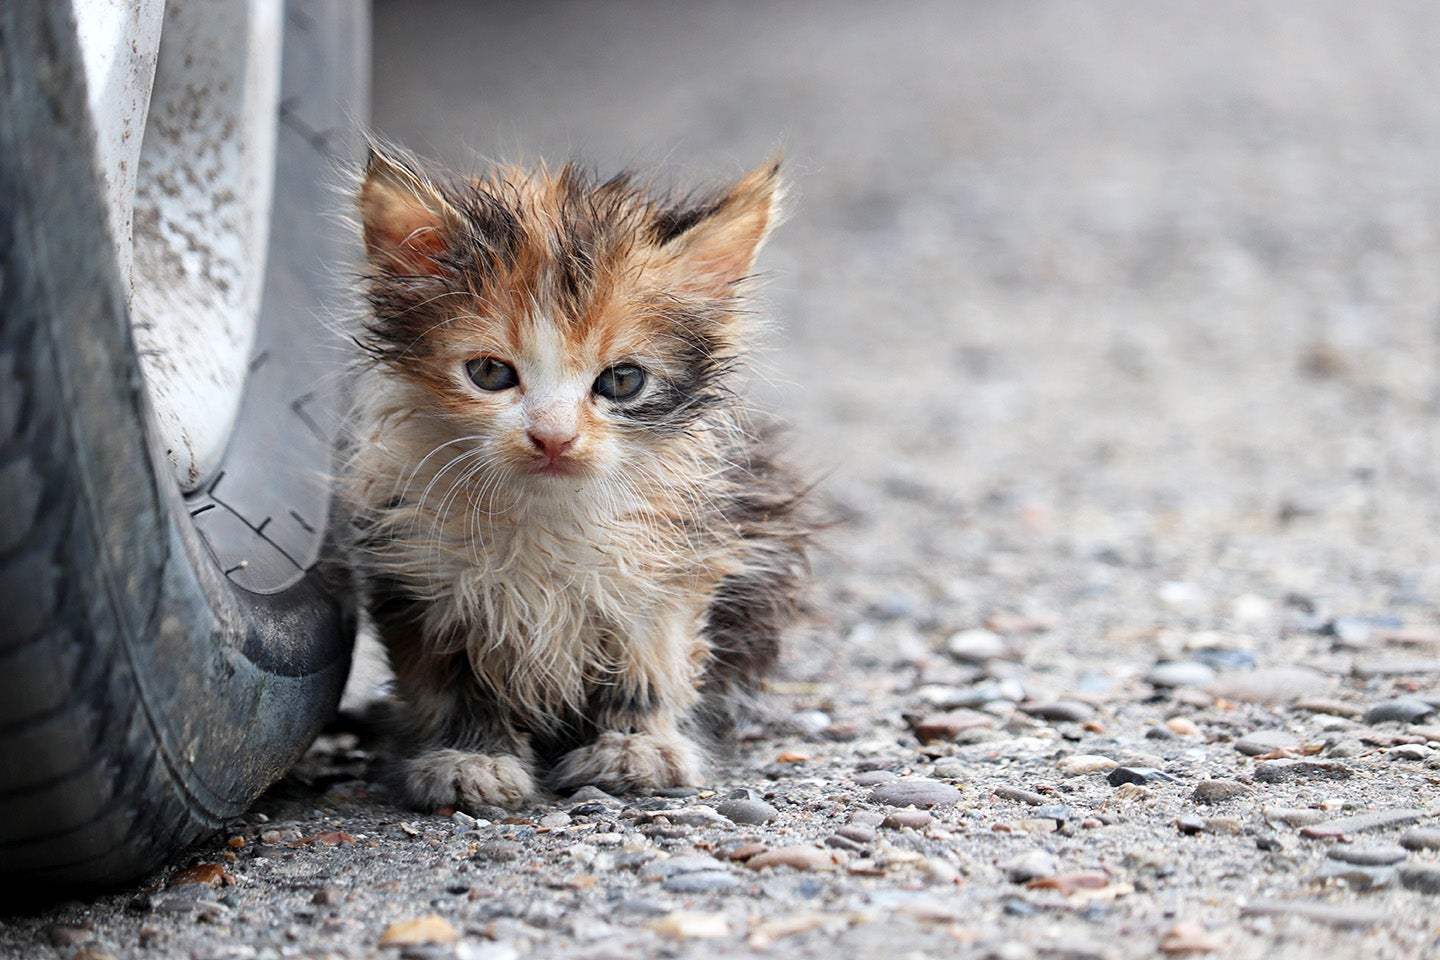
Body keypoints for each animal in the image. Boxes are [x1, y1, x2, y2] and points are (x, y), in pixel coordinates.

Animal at [347, 146, 812, 817]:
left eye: (621, 381)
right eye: (490, 373)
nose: (553, 437)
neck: (543, 515)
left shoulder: (678, 563)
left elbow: (652, 663)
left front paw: (637, 747)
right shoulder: (420, 572)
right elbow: (451, 681)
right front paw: (471, 759)